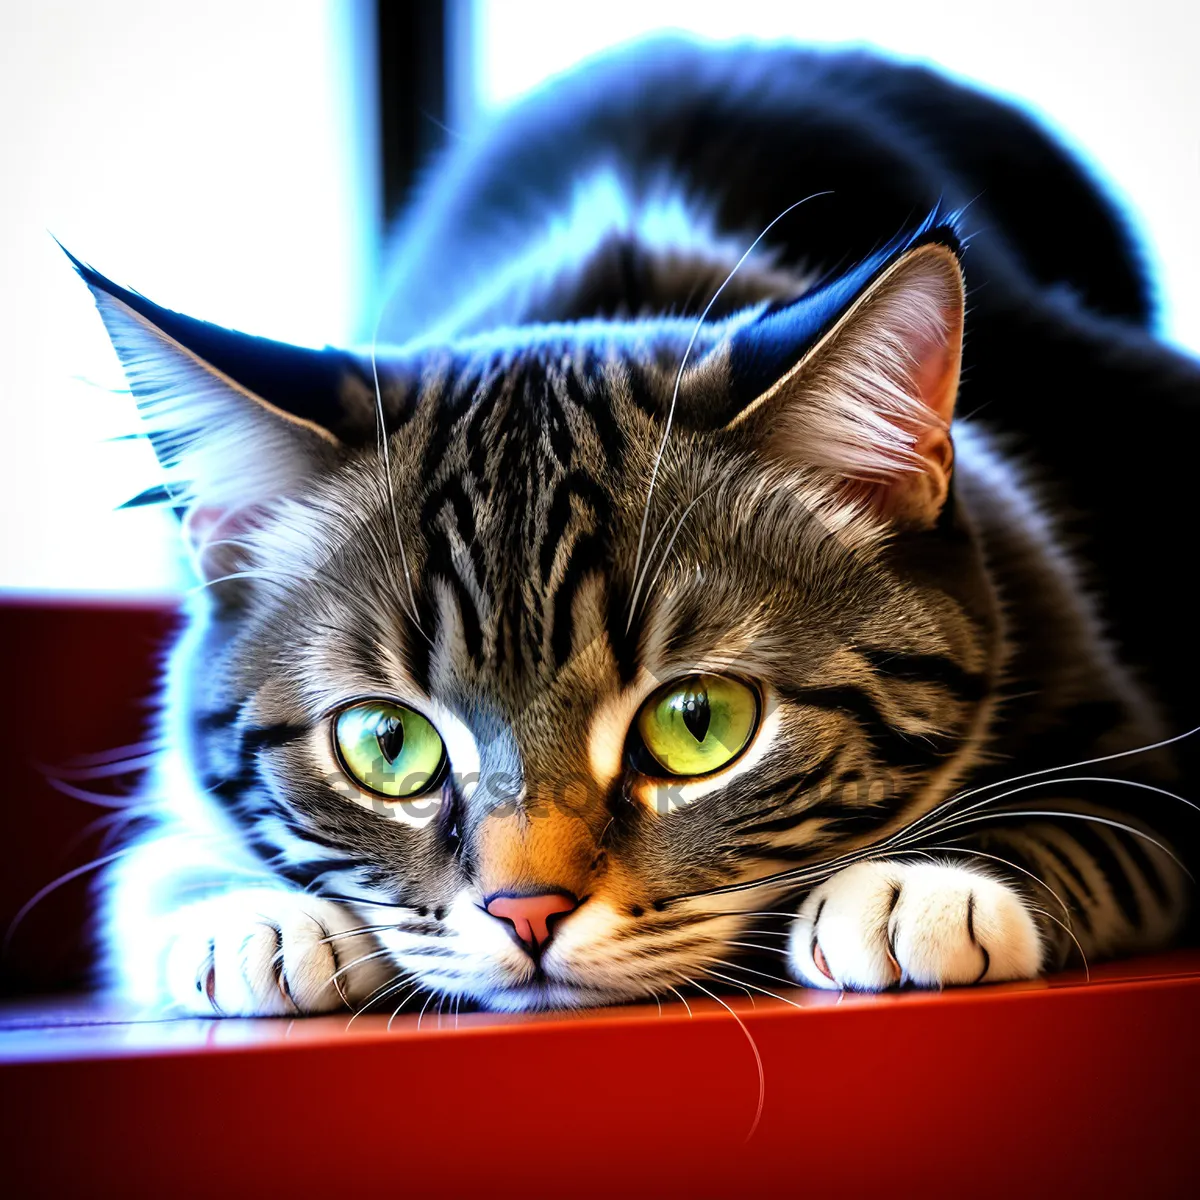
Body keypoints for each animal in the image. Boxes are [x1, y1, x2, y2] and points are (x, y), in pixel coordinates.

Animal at [77, 37, 1200, 1012]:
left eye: (698, 723)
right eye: (387, 744)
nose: (526, 911)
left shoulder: (1120, 726)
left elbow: (1098, 817)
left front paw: (922, 884)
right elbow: (154, 861)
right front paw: (253, 916)